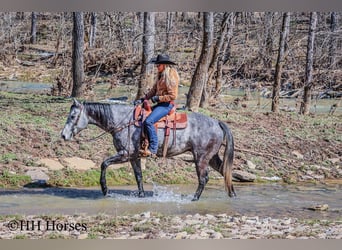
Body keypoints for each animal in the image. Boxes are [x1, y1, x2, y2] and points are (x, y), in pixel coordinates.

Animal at [60, 98, 235, 200]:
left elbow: (104, 164)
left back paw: (195, 198)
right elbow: (138, 176)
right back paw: (232, 194)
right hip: (211, 157)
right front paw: (142, 194)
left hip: (201, 158)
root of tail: (217, 122)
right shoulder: (134, 157)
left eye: (73, 116)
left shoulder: (125, 154)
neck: (123, 122)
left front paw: (104, 189)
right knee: (224, 171)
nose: (63, 135)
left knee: (204, 178)